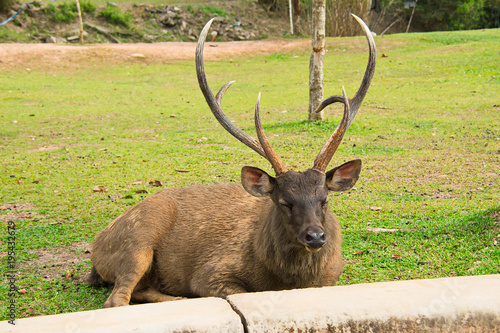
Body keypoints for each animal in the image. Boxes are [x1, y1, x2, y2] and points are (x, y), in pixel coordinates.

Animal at [88, 14, 376, 306]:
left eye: (325, 199)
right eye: (285, 202)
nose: (315, 236)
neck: (288, 282)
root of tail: (97, 245)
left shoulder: (331, 276)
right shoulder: (211, 272)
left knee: (140, 290)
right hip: (139, 238)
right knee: (117, 298)